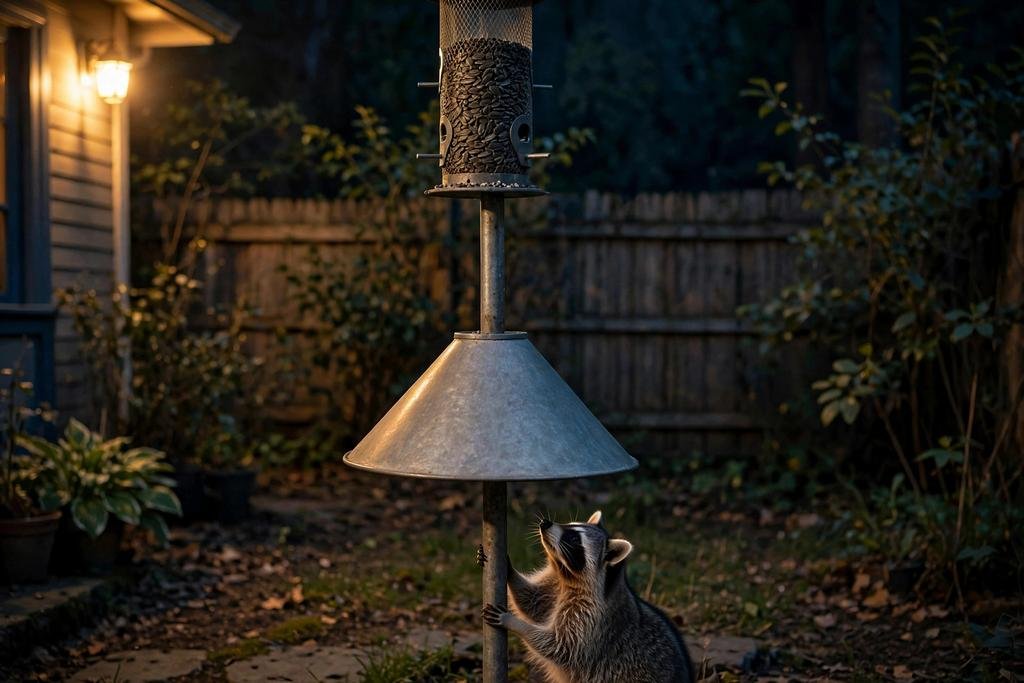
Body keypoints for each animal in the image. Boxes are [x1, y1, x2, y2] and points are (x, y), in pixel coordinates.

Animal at [482, 510, 694, 683]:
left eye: (574, 538)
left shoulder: (591, 618)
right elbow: (532, 601)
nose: (545, 522)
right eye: (569, 524)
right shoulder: (556, 585)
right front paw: (508, 569)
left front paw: (514, 623)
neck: (566, 575)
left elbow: (561, 647)